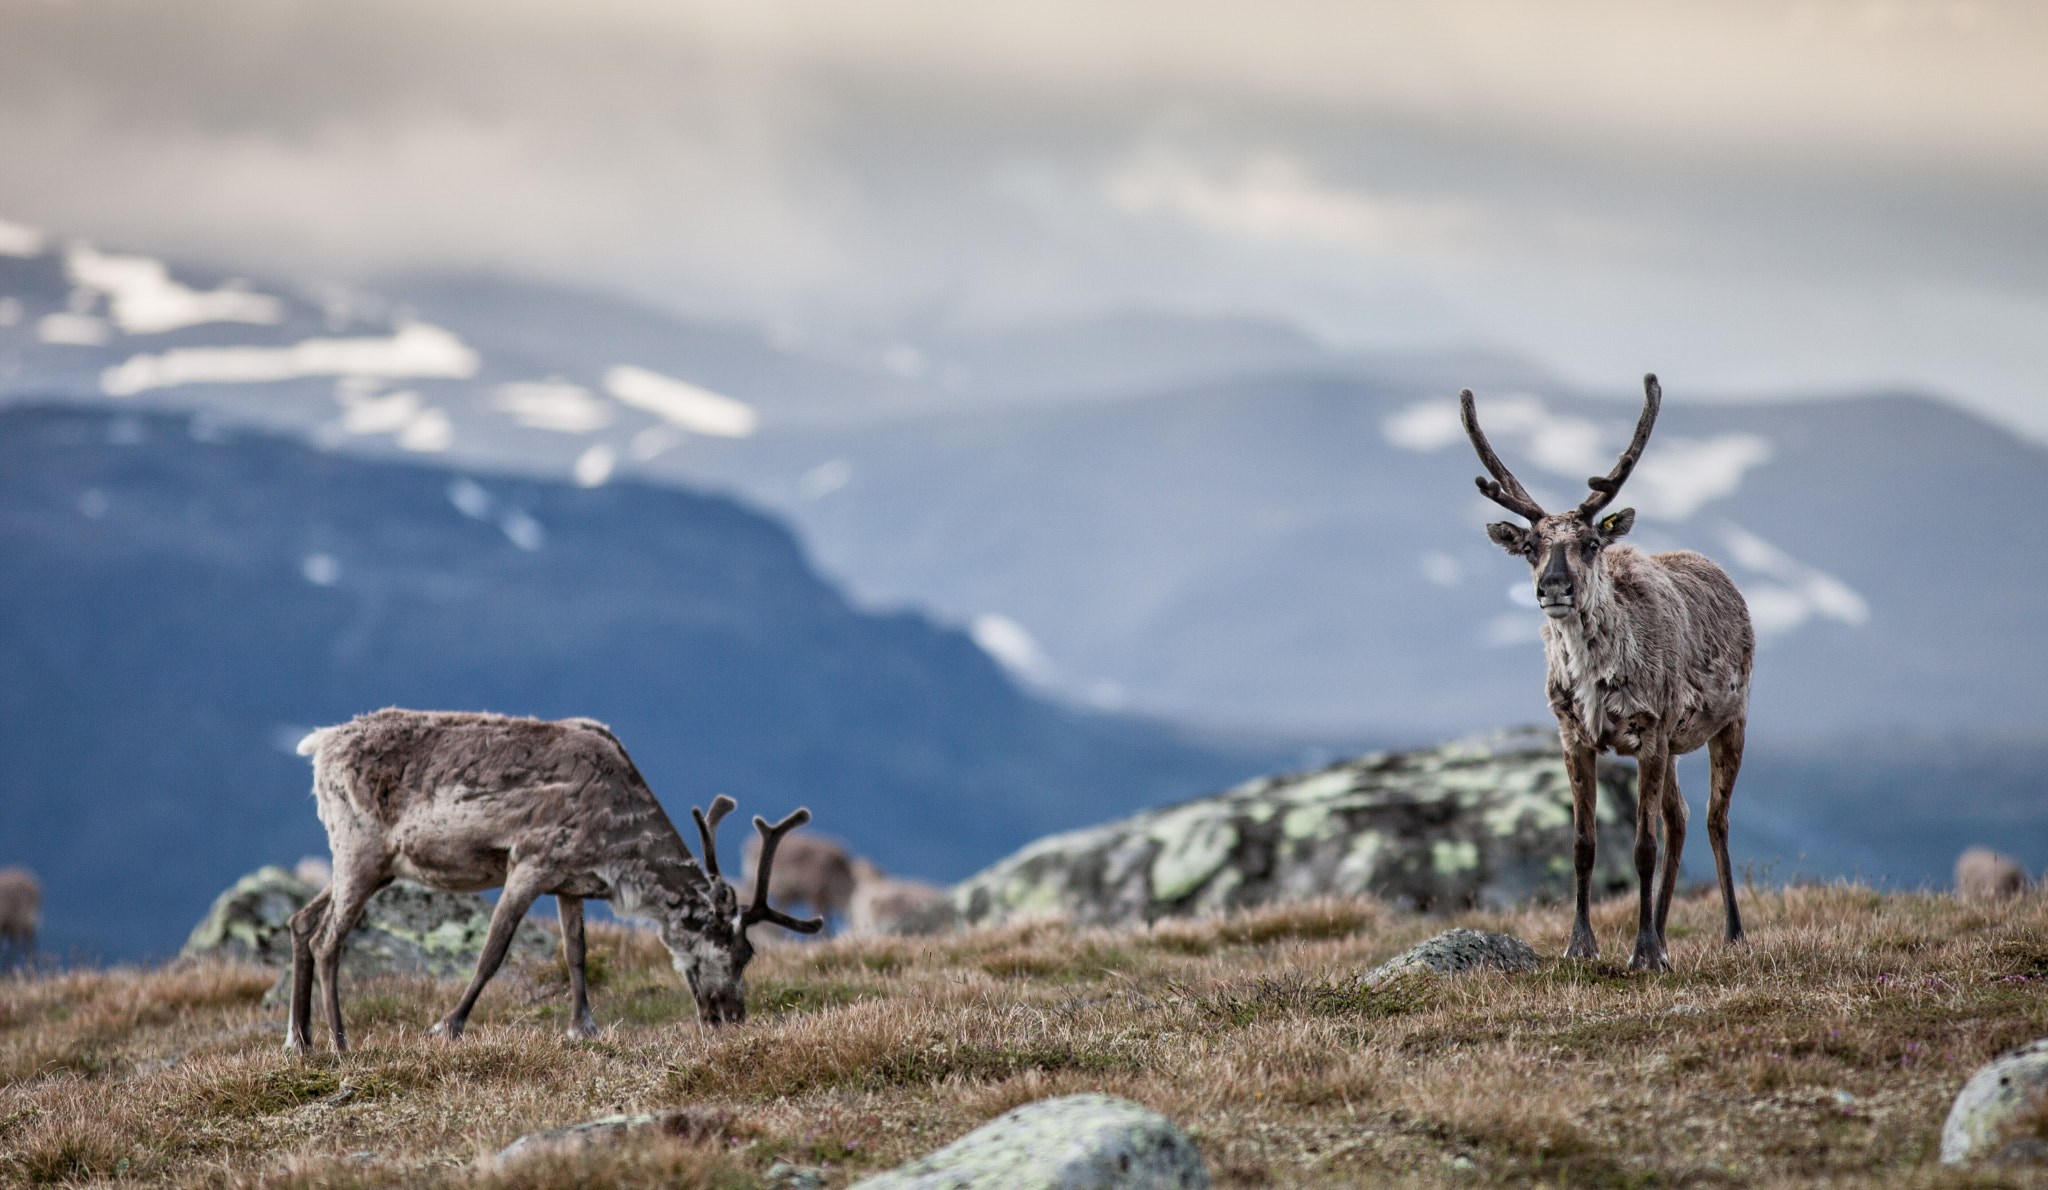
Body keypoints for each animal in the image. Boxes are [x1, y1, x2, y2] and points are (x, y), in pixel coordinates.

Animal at [286, 709, 822, 1054]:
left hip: (376, 865)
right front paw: (449, 1026)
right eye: (742, 953)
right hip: (359, 850)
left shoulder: (570, 883)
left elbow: (576, 954)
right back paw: (340, 1042)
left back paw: (301, 1040)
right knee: (328, 939)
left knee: (301, 922)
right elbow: (492, 954)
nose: (734, 1018)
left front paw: (583, 1028)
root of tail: (321, 743)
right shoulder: (530, 865)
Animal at [1461, 374, 1754, 970]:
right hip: (1675, 744)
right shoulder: (1573, 735)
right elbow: (1583, 844)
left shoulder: (1650, 730)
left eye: (1591, 543)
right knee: (1679, 818)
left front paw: (1642, 954)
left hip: (1730, 720)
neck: (1594, 679)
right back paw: (1662, 931)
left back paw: (1730, 934)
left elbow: (1642, 846)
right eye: (1530, 546)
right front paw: (1582, 945)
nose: (1553, 586)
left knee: (1714, 819)